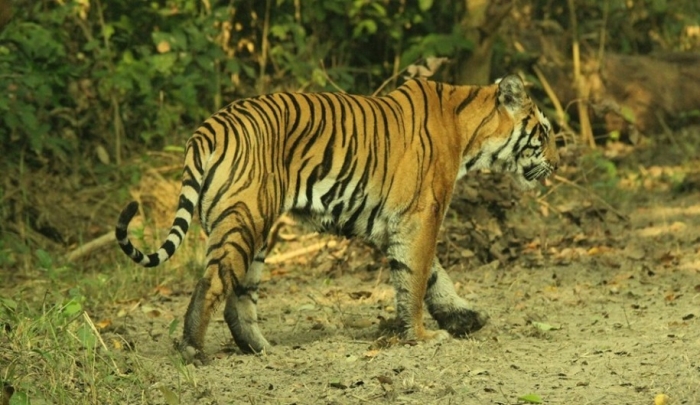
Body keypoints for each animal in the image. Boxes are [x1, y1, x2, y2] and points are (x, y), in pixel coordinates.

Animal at [115, 74, 559, 363]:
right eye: (545, 131)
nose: (557, 161)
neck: (470, 133)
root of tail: (208, 128)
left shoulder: (392, 224)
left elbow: (432, 274)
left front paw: (465, 318)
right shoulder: (420, 216)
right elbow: (416, 280)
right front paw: (421, 336)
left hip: (252, 229)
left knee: (237, 297)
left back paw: (262, 350)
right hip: (244, 220)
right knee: (210, 286)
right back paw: (193, 352)